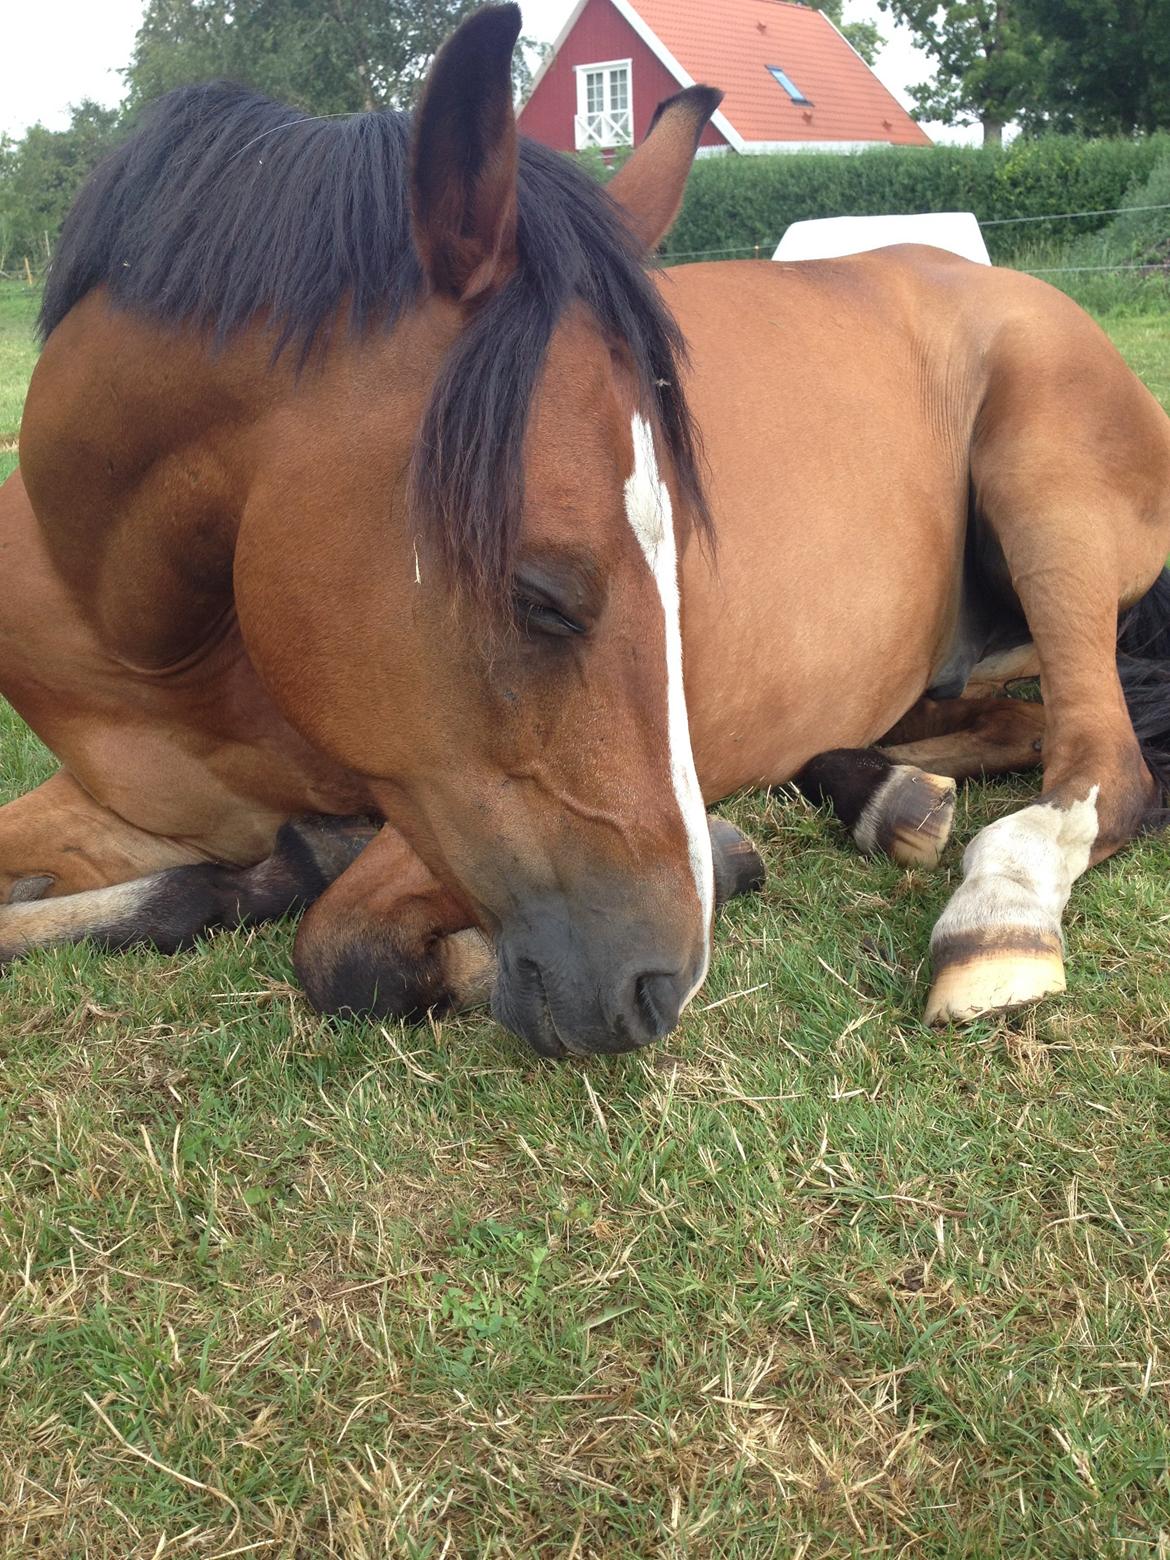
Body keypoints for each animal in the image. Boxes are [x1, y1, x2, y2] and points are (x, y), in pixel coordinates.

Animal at [2, 3, 1170, 1060]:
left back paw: (992, 920)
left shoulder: (428, 805)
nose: (664, 982)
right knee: (1005, 724)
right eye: (542, 594)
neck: (162, 641)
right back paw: (887, 795)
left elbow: (344, 947)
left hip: (1046, 491)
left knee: (1099, 762)